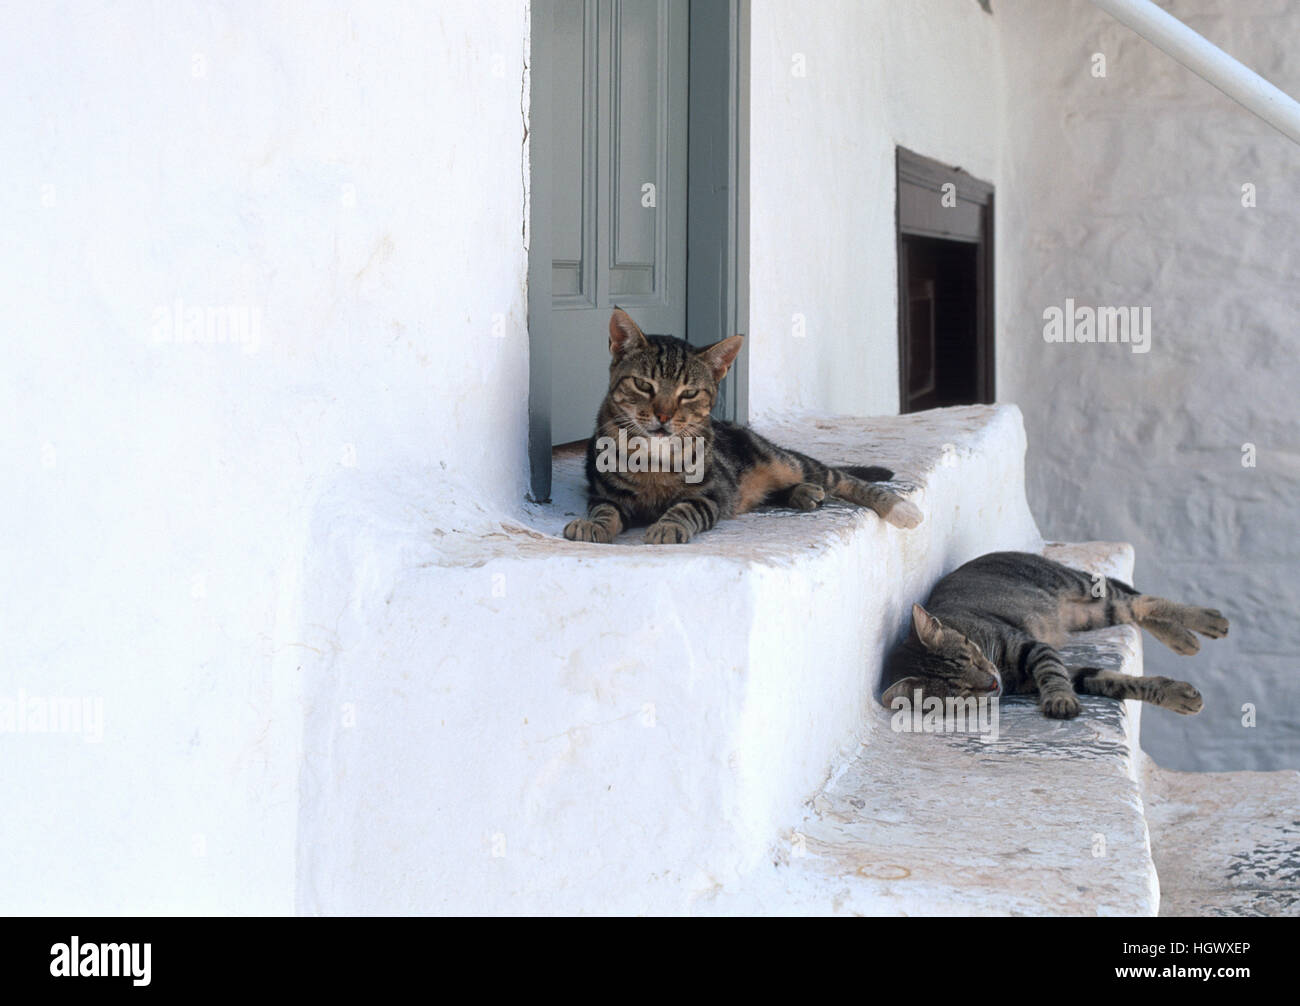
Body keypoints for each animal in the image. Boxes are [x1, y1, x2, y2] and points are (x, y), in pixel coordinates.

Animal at [561, 310, 925, 548]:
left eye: (688, 393)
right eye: (643, 385)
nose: (663, 415)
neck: (655, 459)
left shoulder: (709, 494)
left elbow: (685, 508)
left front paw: (668, 526)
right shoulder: (605, 493)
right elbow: (605, 510)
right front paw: (593, 526)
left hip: (783, 461)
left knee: (841, 478)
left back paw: (898, 507)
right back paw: (802, 493)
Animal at [883, 551, 1227, 722]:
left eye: (973, 655)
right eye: (961, 692)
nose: (993, 683)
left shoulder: (1033, 647)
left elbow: (1052, 673)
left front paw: (1060, 699)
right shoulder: (1056, 670)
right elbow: (1114, 680)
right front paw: (1177, 695)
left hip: (1081, 588)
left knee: (1145, 600)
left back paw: (1208, 622)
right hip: (1093, 614)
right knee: (1137, 607)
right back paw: (1186, 639)